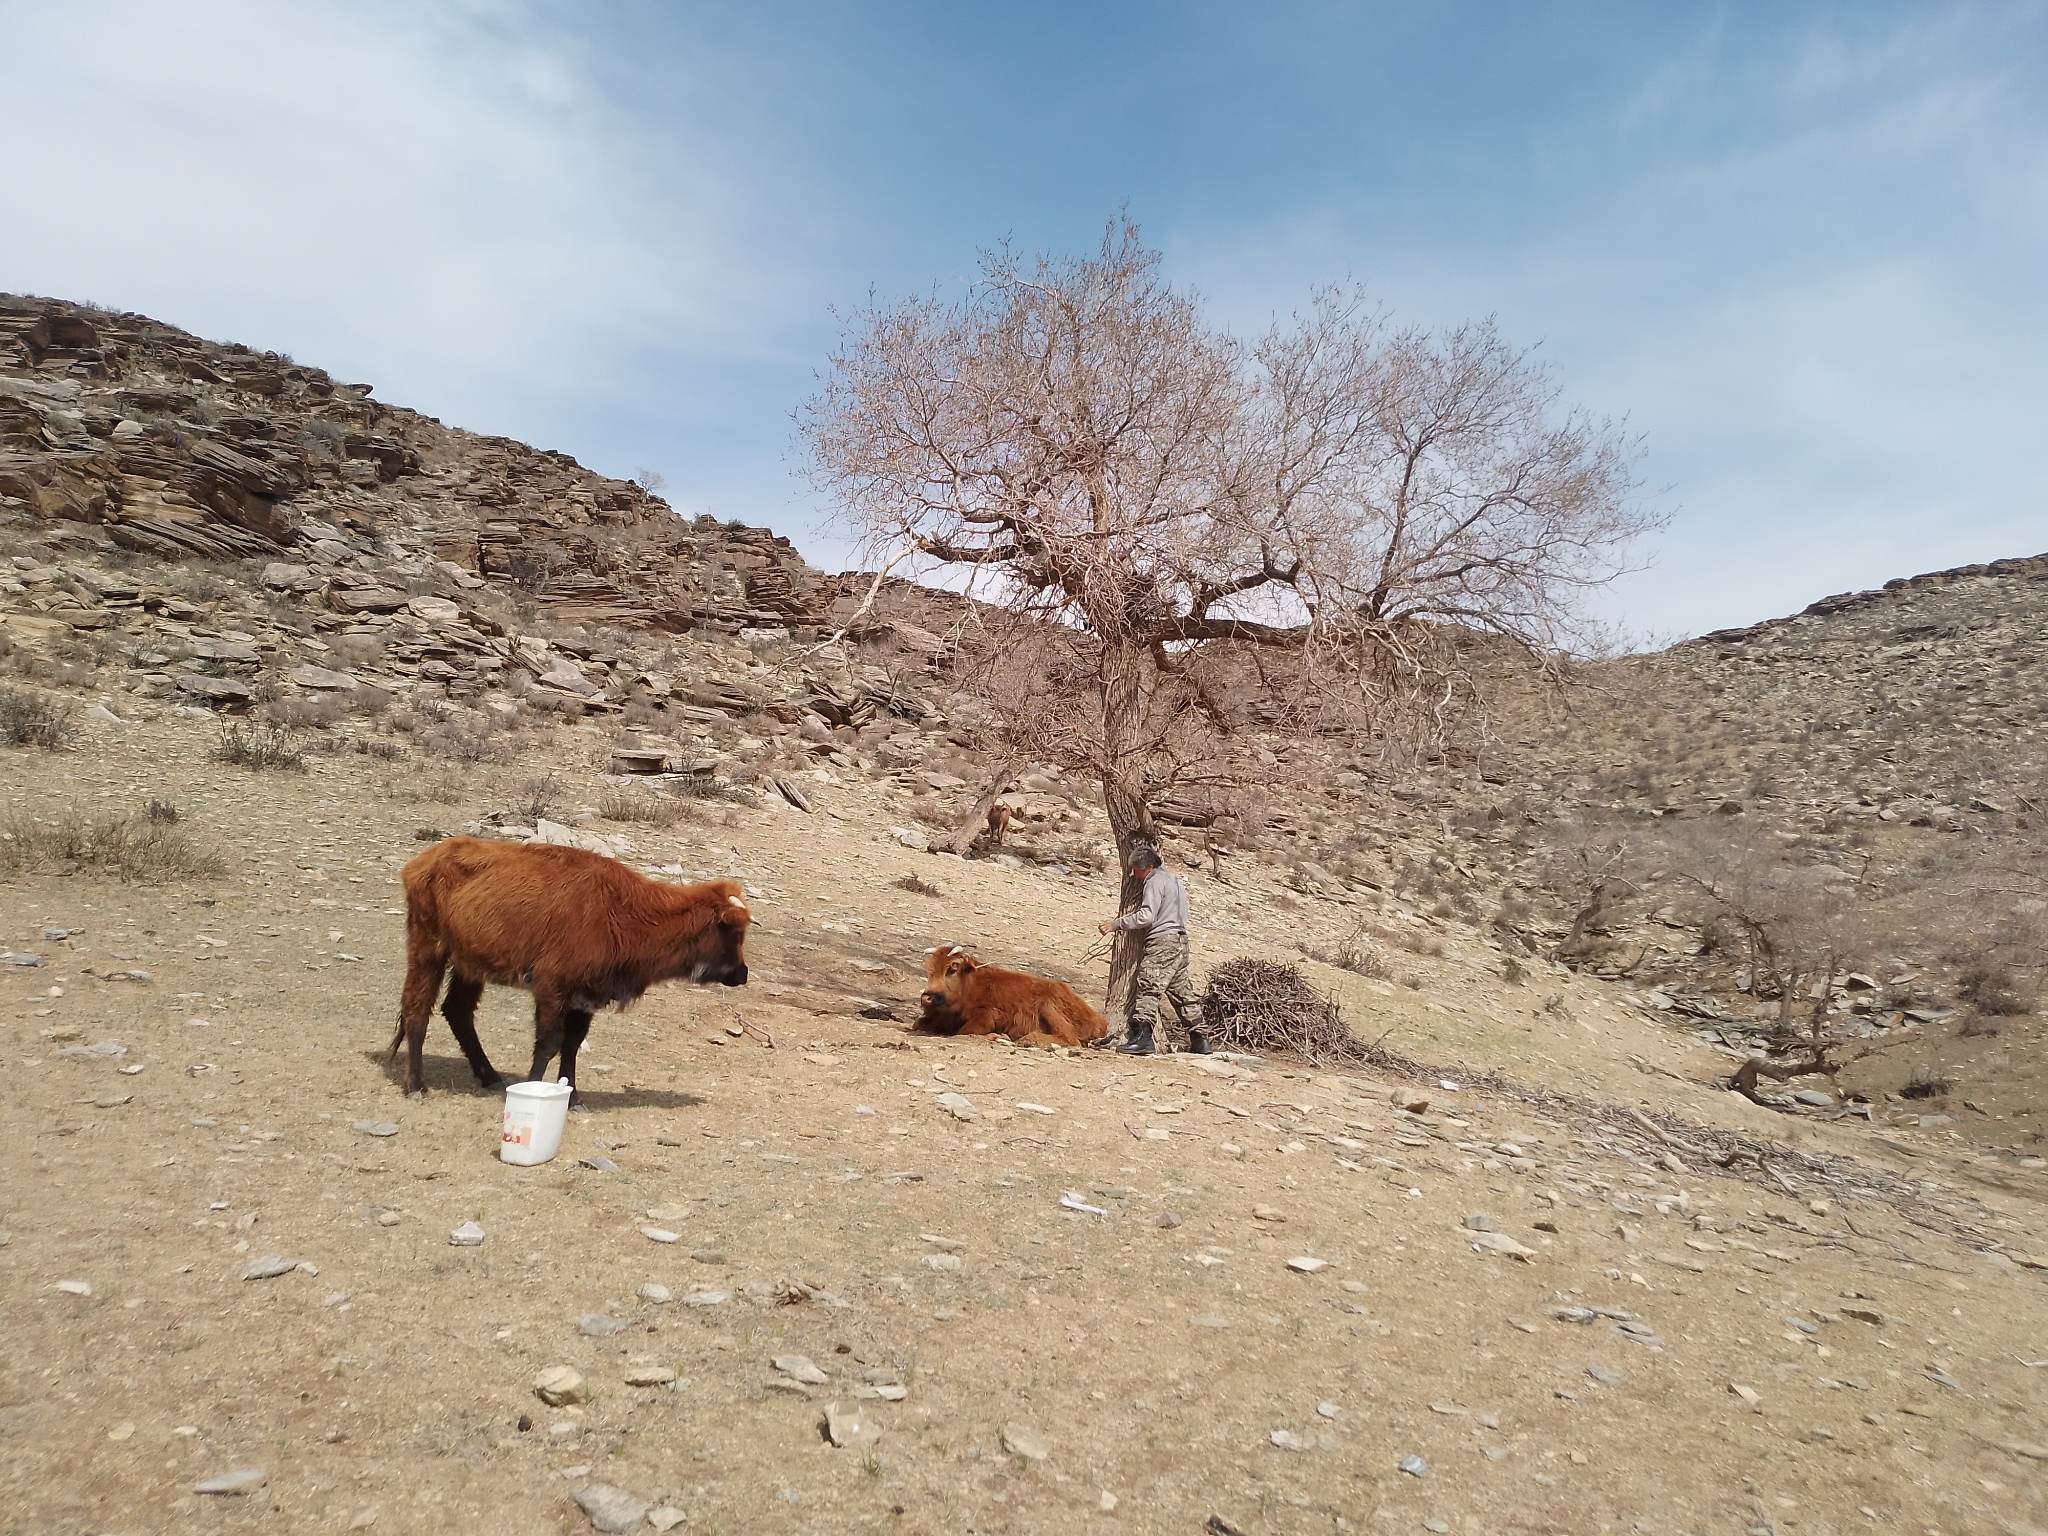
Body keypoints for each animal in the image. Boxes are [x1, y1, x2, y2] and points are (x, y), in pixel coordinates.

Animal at [388, 835, 750, 1099]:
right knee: (416, 1009)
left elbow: (571, 1045)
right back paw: (416, 1085)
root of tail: (426, 859)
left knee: (457, 1011)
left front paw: (572, 1095)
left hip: (469, 965)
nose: (742, 974)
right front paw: (533, 1088)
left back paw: (489, 1075)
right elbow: (548, 1044)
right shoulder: (552, 990)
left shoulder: (585, 997)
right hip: (428, 950)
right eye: (735, 932)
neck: (624, 911)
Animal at [913, 943, 1111, 1048]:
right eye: (930, 970)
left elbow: (965, 1031)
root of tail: (1101, 1021)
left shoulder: (988, 1014)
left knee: (1070, 1039)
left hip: (1048, 1005)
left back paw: (1027, 1039)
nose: (927, 997)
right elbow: (919, 1024)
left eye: (953, 968)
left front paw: (997, 1036)